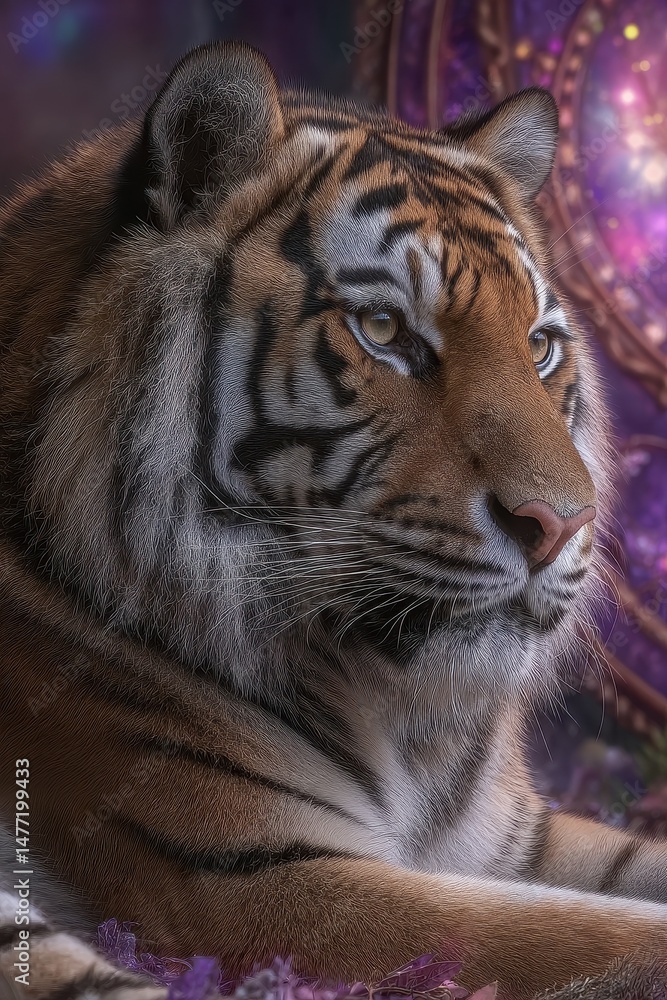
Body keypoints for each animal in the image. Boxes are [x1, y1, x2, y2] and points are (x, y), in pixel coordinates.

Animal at [0, 38, 666, 1000]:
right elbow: (596, 938)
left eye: (538, 346)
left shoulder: (510, 838)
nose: (559, 523)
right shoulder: (263, 877)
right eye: (384, 329)